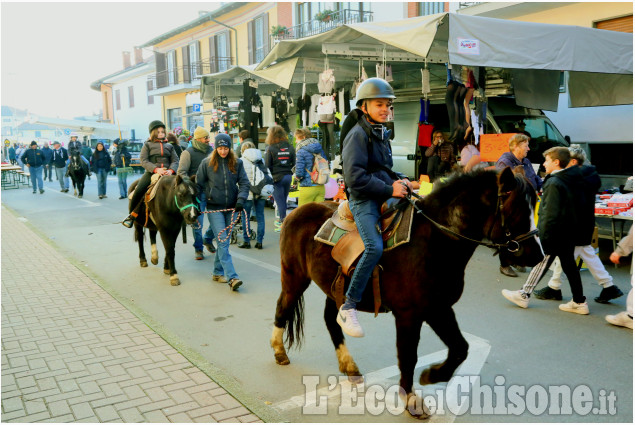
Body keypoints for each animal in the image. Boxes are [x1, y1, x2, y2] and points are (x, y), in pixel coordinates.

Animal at [270, 166, 544, 418]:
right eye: (516, 209)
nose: (538, 255)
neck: (435, 242)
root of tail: (297, 211)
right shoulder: (409, 315)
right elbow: (408, 356)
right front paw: (411, 399)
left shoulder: (439, 309)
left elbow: (460, 348)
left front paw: (432, 375)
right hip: (294, 278)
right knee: (283, 308)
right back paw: (279, 351)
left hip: (333, 290)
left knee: (332, 320)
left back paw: (349, 366)